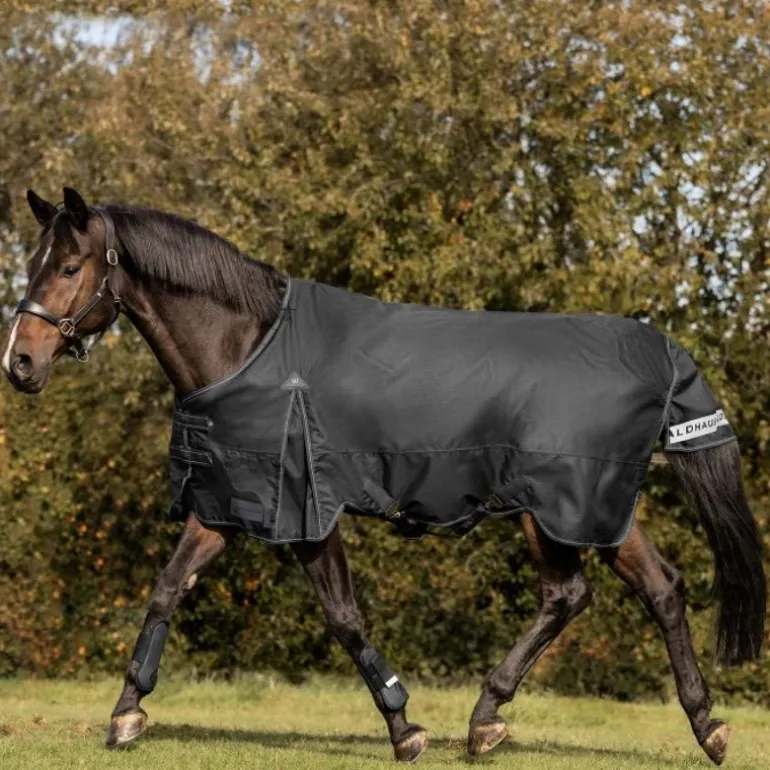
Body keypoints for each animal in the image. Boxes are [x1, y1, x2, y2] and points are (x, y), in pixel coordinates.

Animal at [2, 187, 765, 765]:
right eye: (36, 261)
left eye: (67, 267)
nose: (20, 362)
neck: (249, 349)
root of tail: (658, 353)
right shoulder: (228, 504)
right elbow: (167, 588)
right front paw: (126, 713)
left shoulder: (307, 511)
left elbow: (343, 615)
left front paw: (404, 727)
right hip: (574, 511)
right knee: (628, 591)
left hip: (565, 506)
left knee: (603, 593)